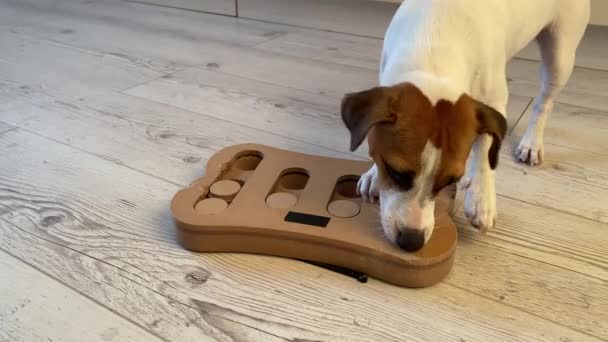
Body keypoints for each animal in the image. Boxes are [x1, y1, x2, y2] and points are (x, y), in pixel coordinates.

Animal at [342, 0, 588, 251]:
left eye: (451, 181)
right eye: (394, 171)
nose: (412, 241)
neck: (436, 45)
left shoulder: (493, 102)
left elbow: (485, 151)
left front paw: (481, 197)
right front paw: (373, 173)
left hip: (560, 53)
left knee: (544, 102)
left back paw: (532, 142)